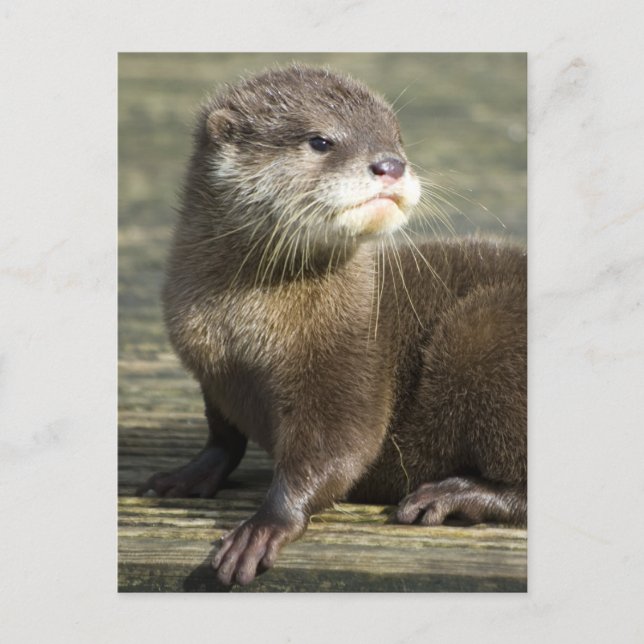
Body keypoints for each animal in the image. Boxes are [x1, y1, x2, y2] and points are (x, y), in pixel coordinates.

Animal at [137, 64, 527, 587]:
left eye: (396, 138)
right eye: (320, 141)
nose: (391, 164)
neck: (241, 331)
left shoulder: (349, 358)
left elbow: (339, 450)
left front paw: (264, 526)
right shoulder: (209, 372)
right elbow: (223, 436)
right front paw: (187, 475)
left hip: (483, 331)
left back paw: (450, 495)